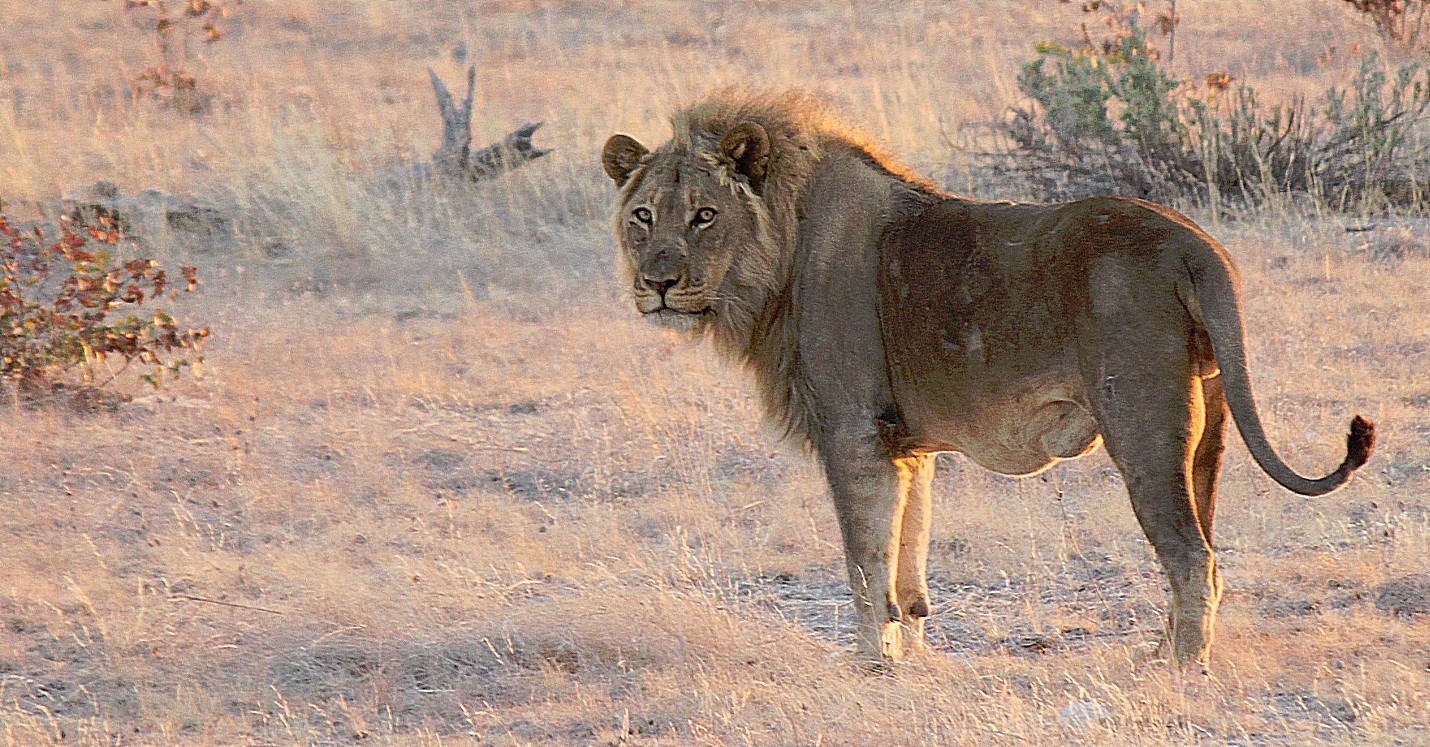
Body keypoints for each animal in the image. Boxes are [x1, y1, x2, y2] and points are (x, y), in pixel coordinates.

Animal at [600, 88, 1372, 664]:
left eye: (704, 215)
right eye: (643, 216)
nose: (657, 284)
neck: (777, 258)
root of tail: (1195, 242)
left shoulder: (853, 434)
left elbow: (863, 565)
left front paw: (868, 665)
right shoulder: (904, 446)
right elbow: (907, 559)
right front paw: (911, 653)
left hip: (1142, 423)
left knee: (1190, 556)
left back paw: (1178, 669)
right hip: (1208, 425)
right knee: (1206, 547)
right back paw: (1159, 650)